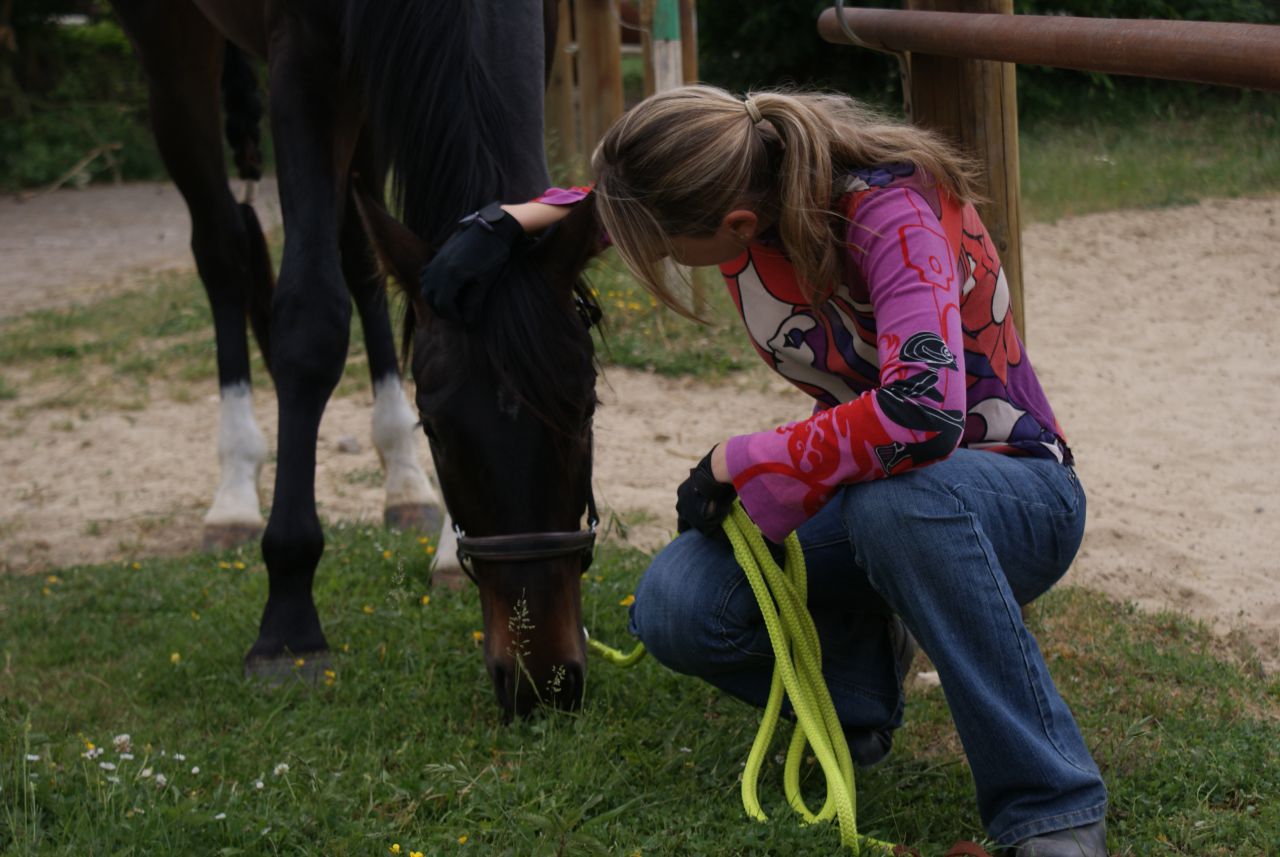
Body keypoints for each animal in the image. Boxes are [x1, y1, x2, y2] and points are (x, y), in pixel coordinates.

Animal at [110, 0, 603, 717]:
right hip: (173, 51)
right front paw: (287, 625)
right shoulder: (305, 64)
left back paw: (402, 484)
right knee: (223, 251)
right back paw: (235, 491)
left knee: (361, 256)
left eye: (586, 411)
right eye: (438, 431)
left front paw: (445, 551)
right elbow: (309, 321)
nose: (543, 682)